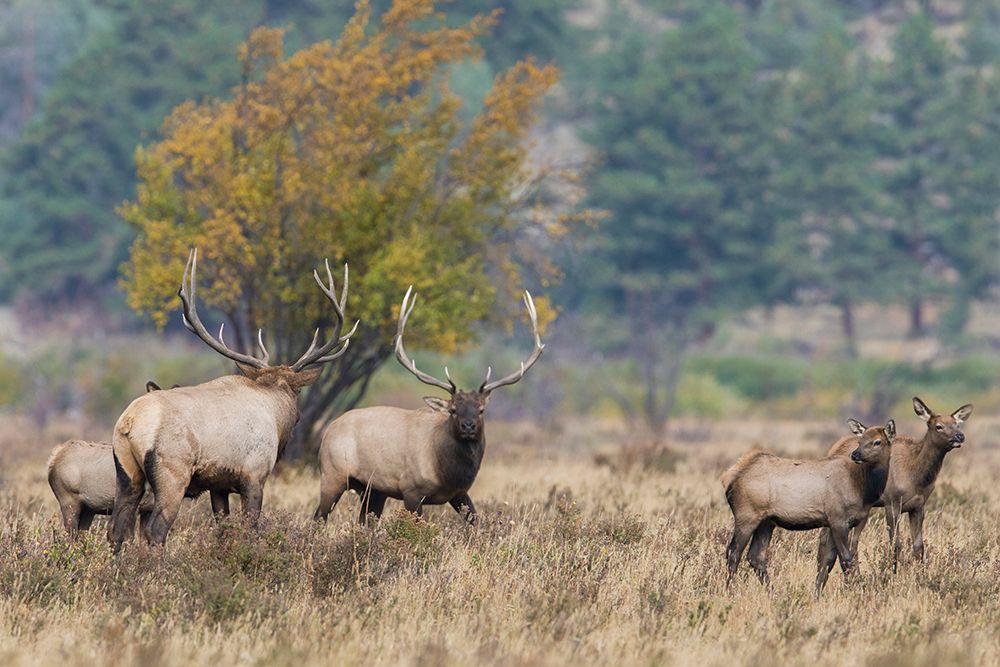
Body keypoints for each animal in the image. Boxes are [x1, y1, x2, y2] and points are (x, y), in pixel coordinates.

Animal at [108, 248, 357, 550]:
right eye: (297, 394)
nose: (298, 418)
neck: (275, 415)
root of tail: (129, 423)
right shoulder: (254, 475)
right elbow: (251, 527)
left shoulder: (218, 485)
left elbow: (223, 528)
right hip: (172, 472)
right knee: (155, 530)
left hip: (125, 472)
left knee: (116, 529)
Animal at [313, 285, 544, 525]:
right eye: (453, 410)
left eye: (481, 410)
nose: (468, 426)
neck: (447, 473)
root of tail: (329, 428)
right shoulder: (411, 490)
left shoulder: (459, 493)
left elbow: (474, 520)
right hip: (332, 474)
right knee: (318, 516)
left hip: (374, 490)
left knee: (363, 521)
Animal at [720, 418, 895, 595]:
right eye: (860, 441)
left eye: (877, 442)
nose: (856, 454)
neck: (864, 489)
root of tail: (729, 478)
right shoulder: (837, 519)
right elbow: (846, 559)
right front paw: (856, 591)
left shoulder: (838, 522)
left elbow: (828, 560)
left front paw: (817, 594)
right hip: (746, 516)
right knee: (733, 552)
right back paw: (730, 591)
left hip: (766, 521)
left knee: (756, 556)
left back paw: (773, 593)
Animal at [819, 396, 972, 571]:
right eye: (938, 426)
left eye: (957, 424)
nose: (960, 436)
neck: (916, 478)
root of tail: (834, 447)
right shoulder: (891, 502)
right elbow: (896, 544)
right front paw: (894, 572)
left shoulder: (918, 506)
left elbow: (918, 546)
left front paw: (919, 573)